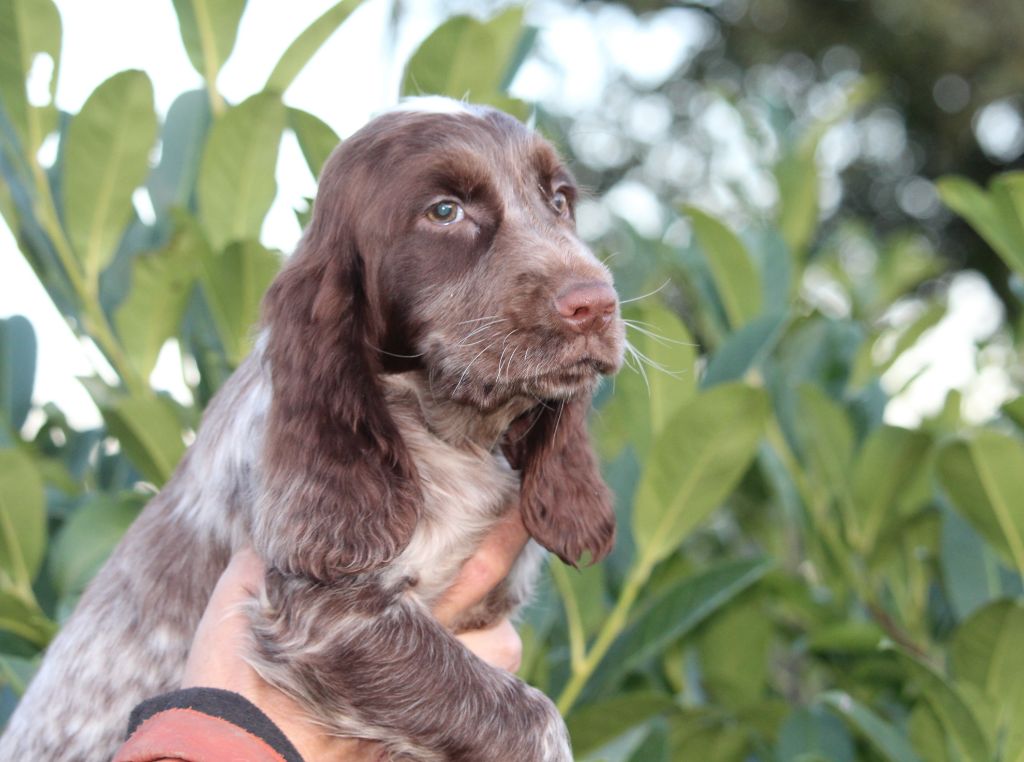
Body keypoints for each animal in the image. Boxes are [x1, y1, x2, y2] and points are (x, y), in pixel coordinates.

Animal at [4, 99, 622, 762]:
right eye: (444, 211)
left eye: (559, 201)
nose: (595, 304)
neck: (451, 431)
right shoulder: (324, 611)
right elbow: (533, 718)